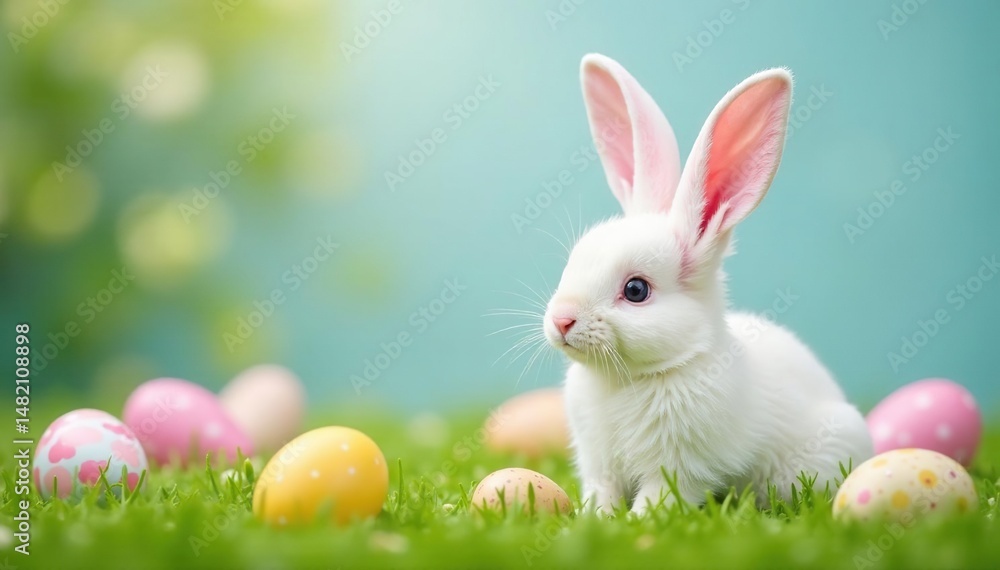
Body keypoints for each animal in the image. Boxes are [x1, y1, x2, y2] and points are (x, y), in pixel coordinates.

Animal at [542, 54, 874, 515]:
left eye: (636, 290)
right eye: (573, 262)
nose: (562, 320)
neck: (629, 378)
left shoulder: (682, 468)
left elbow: (659, 497)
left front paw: (637, 522)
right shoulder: (599, 466)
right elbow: (602, 493)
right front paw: (592, 518)